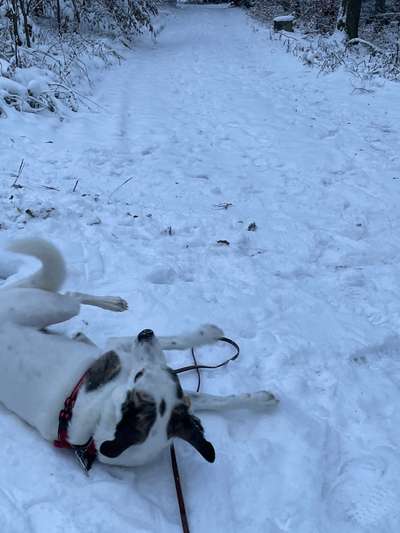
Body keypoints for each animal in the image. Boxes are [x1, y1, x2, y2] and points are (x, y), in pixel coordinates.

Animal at [0, 239, 278, 468]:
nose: (145, 332)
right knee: (72, 296)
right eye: (139, 375)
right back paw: (112, 303)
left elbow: (215, 400)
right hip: (53, 307)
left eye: (173, 378)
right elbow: (174, 340)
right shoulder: (117, 347)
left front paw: (261, 399)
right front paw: (206, 333)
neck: (99, 422)